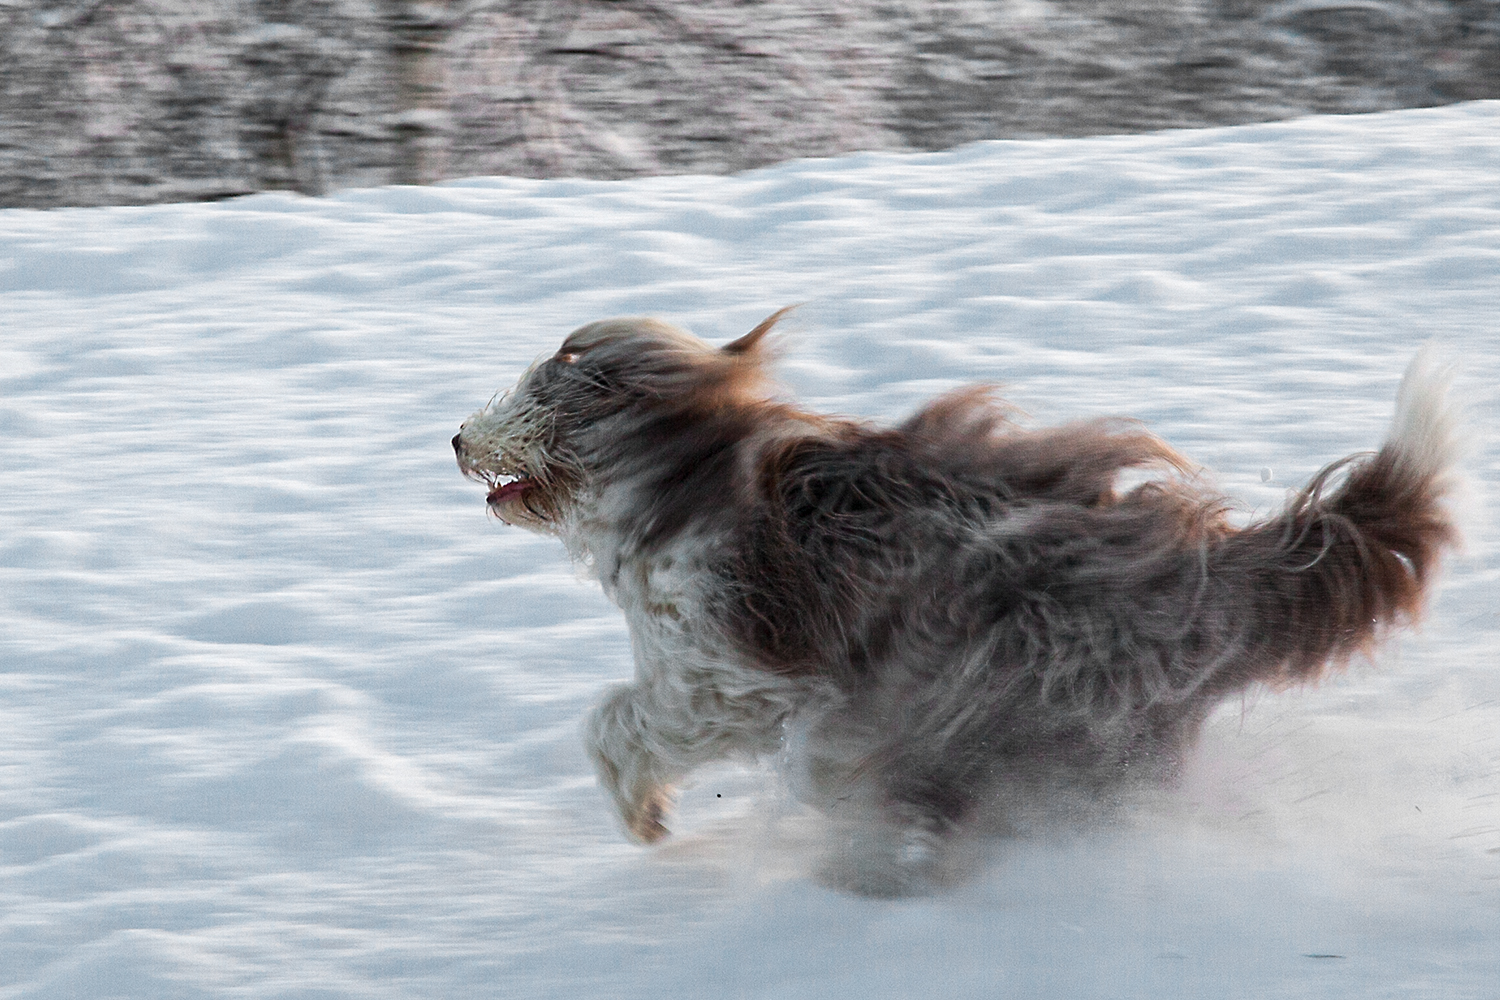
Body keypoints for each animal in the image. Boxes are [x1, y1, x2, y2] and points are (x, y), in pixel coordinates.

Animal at [450, 314, 1458, 893]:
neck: (674, 475)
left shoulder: (726, 668)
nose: (458, 437)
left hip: (997, 672)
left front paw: (642, 811)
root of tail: (1206, 574)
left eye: (541, 391)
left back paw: (883, 853)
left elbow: (617, 722)